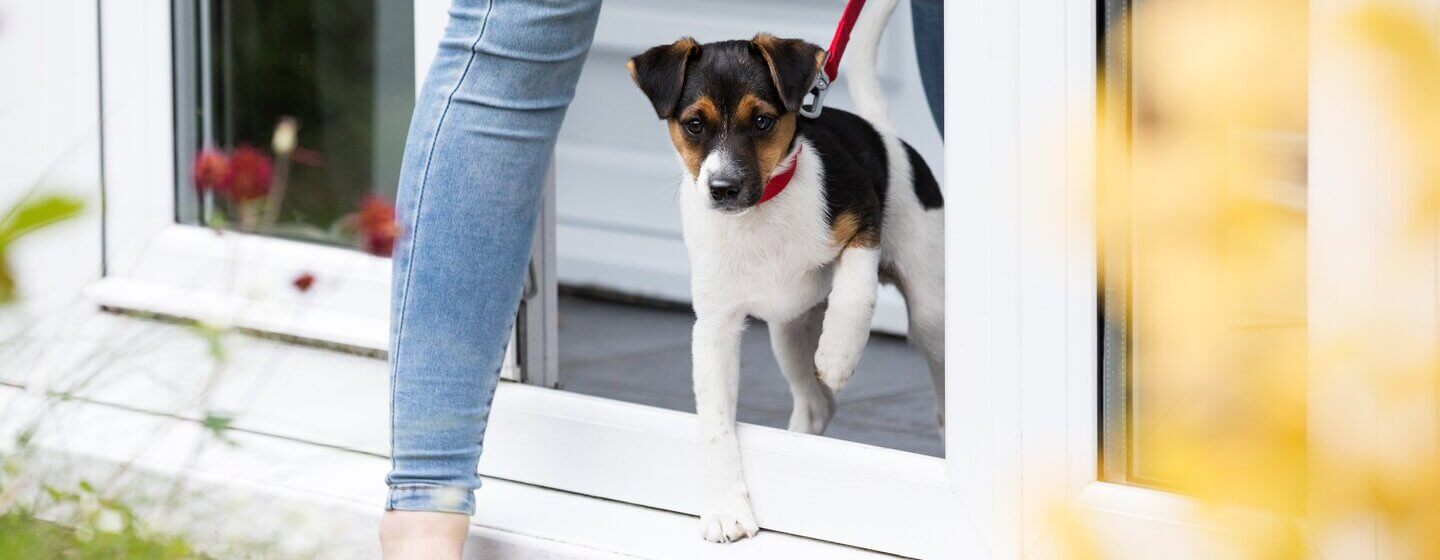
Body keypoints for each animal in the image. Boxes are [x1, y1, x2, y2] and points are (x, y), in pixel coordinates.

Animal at [627, 0, 944, 541]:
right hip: (788, 331)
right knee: (818, 406)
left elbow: (856, 289)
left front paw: (839, 354)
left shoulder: (863, 218)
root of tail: (886, 134)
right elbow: (715, 423)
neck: (763, 212)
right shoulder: (714, 328)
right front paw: (725, 507)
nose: (723, 189)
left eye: (761, 121)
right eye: (694, 125)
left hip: (929, 309)